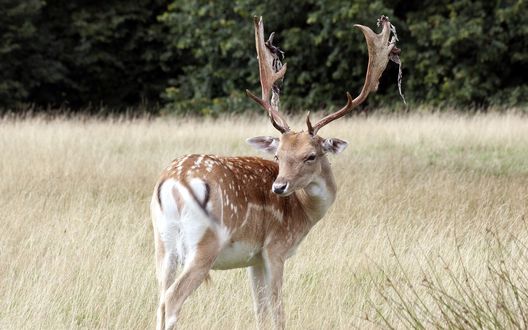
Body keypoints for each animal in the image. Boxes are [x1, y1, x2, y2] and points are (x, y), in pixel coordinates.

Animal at [148, 14, 400, 328]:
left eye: (310, 156)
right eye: (278, 155)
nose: (279, 187)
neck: (303, 212)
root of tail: (173, 183)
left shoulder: (253, 258)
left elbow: (260, 309)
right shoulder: (275, 248)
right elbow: (278, 310)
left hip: (162, 243)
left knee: (159, 297)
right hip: (205, 242)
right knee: (171, 299)